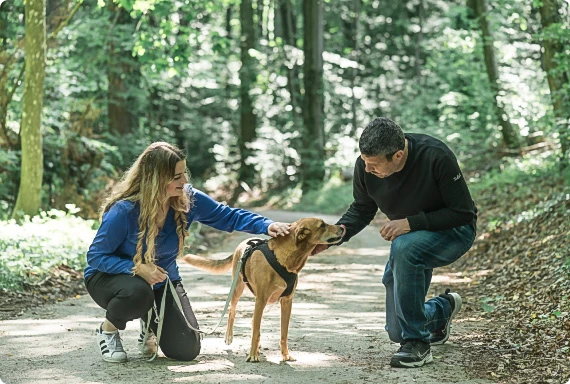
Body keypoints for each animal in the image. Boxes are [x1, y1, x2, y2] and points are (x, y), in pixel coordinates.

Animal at [183, 218, 342, 362]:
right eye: (322, 225)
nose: (342, 227)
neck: (284, 259)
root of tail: (244, 242)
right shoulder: (261, 299)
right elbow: (255, 331)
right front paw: (253, 355)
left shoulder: (286, 301)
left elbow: (283, 333)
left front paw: (285, 355)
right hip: (238, 290)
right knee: (233, 312)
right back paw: (230, 336)